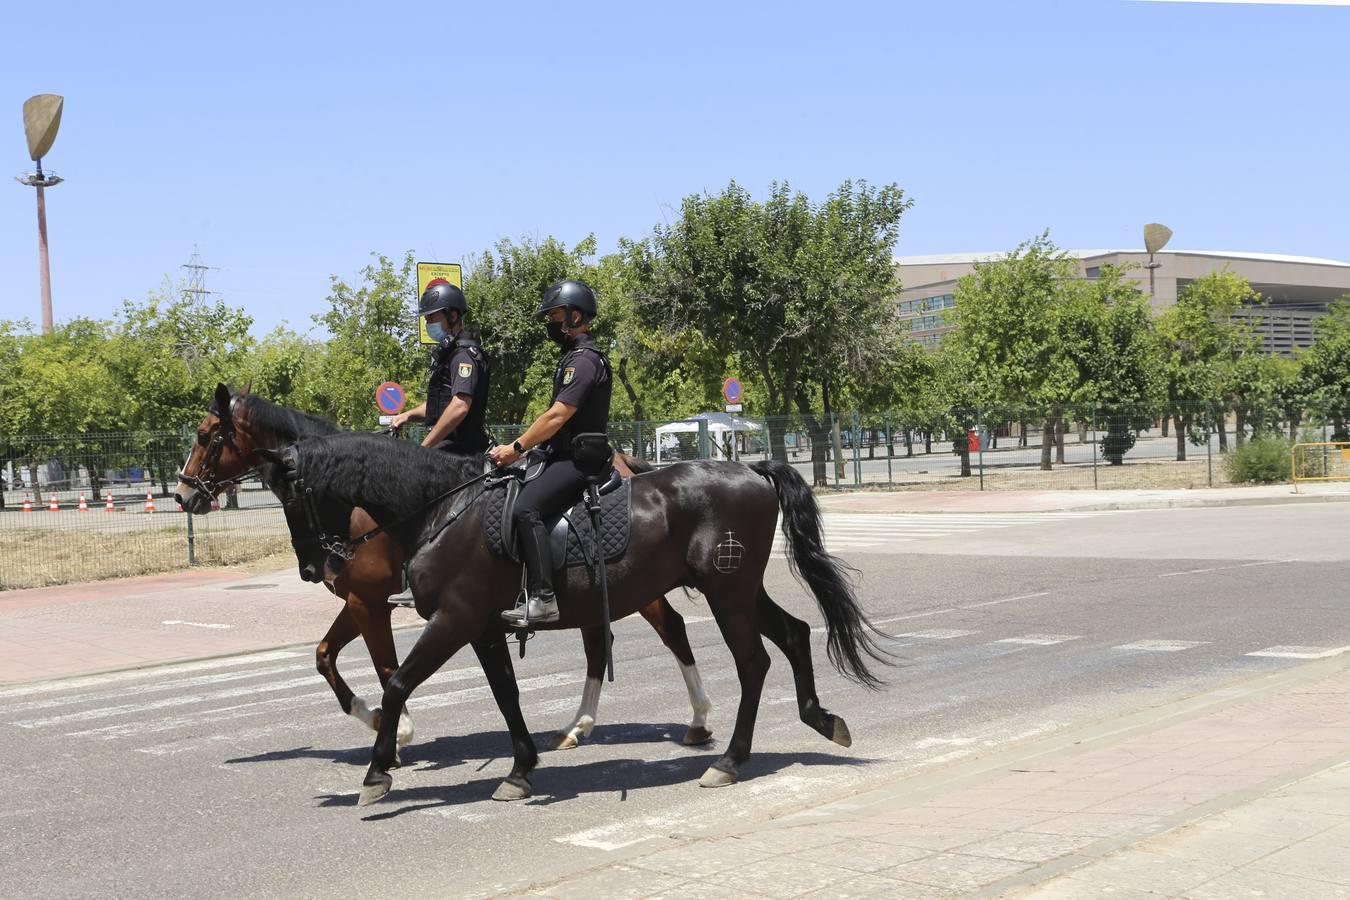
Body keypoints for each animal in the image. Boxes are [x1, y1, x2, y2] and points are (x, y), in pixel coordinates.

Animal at [179, 385, 718, 755]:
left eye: (205, 436)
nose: (184, 495)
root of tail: (623, 463)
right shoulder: (360, 601)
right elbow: (324, 655)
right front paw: (373, 719)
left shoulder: (370, 602)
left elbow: (386, 667)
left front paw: (397, 730)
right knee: (597, 643)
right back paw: (576, 726)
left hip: (635, 586)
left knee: (670, 629)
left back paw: (697, 719)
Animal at [260, 431, 896, 804]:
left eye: (290, 495)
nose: (315, 568)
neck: (446, 510)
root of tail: (754, 469)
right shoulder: (482, 626)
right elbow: (506, 696)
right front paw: (520, 768)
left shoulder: (453, 620)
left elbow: (396, 685)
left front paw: (377, 772)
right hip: (737, 590)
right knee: (794, 634)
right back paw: (818, 718)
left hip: (727, 592)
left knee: (752, 662)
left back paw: (729, 759)